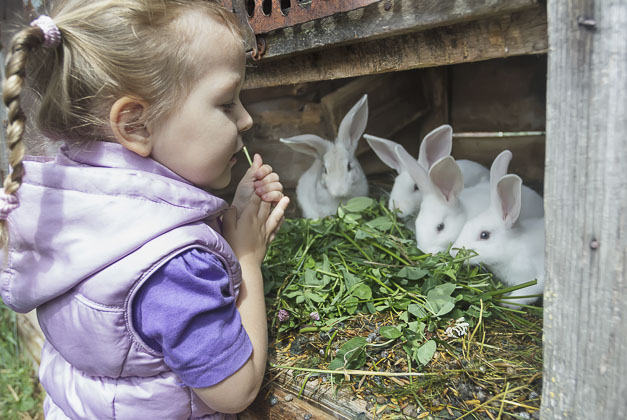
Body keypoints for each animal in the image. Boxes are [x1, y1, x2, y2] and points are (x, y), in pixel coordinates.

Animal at [452, 174, 544, 308]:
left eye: (484, 235)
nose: (452, 253)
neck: (513, 249)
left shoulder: (532, 279)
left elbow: (524, 294)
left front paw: (506, 302)